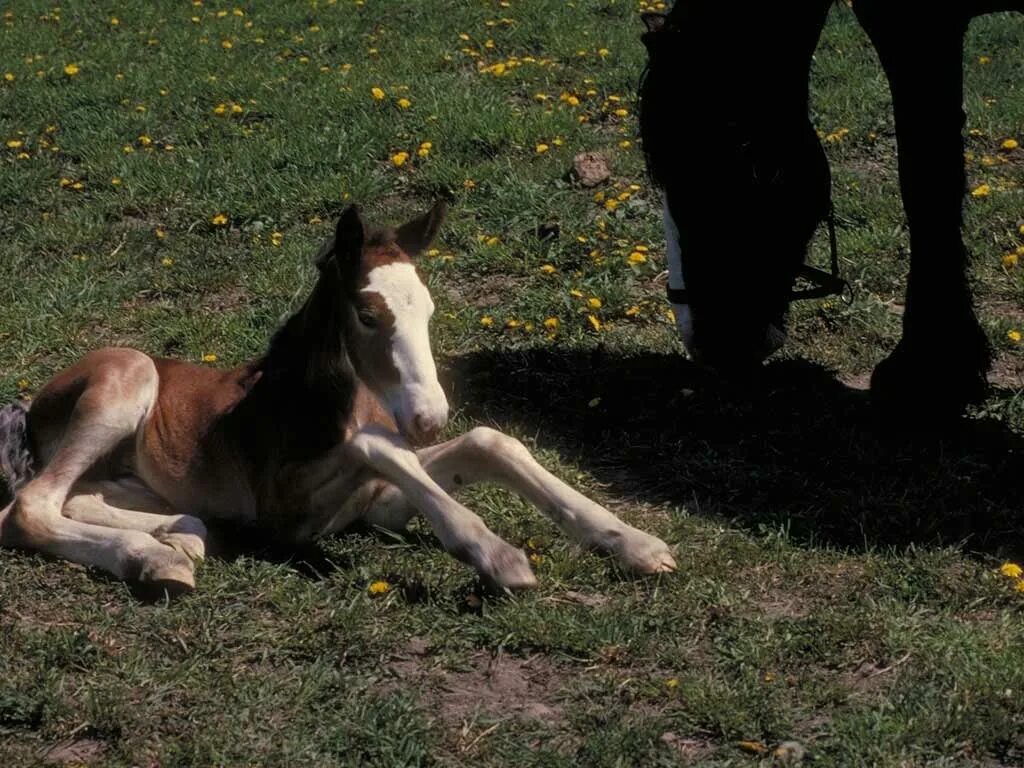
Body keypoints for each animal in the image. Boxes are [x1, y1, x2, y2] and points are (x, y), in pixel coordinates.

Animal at [0, 204, 675, 593]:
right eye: (369, 314)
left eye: (430, 309)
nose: (429, 418)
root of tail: (33, 408)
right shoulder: (288, 512)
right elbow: (379, 447)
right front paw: (497, 555)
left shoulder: (381, 507)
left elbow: (489, 441)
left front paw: (633, 544)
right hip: (129, 376)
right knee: (29, 507)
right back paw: (151, 559)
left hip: (130, 476)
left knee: (83, 497)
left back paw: (178, 539)